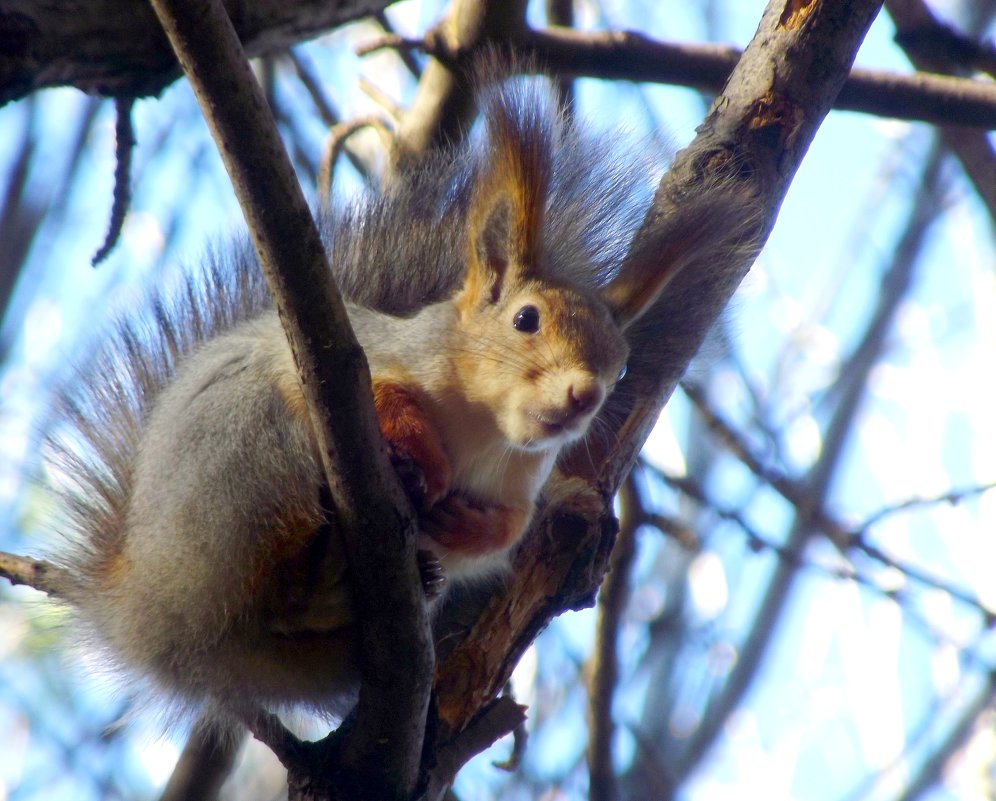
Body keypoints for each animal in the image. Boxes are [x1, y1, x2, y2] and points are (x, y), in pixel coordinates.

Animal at [42, 76, 728, 724]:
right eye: (526, 319)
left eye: (620, 365)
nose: (585, 395)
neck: (487, 435)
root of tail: (145, 615)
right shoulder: (359, 361)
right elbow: (384, 395)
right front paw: (426, 461)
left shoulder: (520, 483)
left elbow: (507, 532)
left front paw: (467, 524)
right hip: (245, 463)